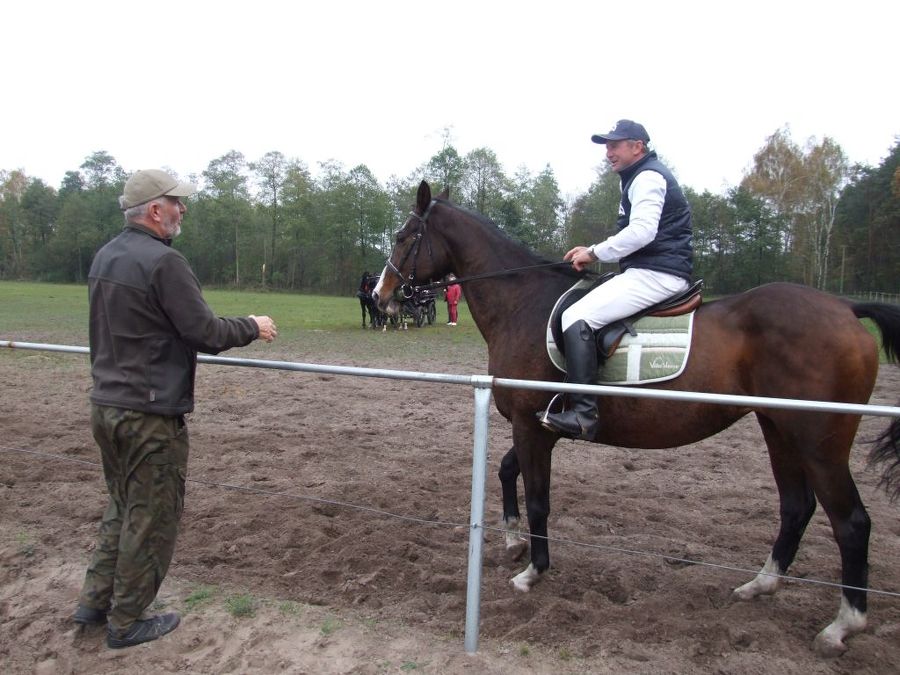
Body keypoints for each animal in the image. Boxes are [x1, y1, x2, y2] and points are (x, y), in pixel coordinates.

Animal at [373, 180, 900, 656]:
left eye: (403, 235)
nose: (380, 295)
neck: (522, 301)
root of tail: (846, 309)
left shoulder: (529, 424)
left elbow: (540, 499)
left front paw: (534, 571)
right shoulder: (540, 426)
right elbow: (506, 471)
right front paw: (512, 540)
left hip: (819, 442)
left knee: (851, 521)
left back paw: (842, 626)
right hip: (779, 430)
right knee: (796, 506)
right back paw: (761, 584)